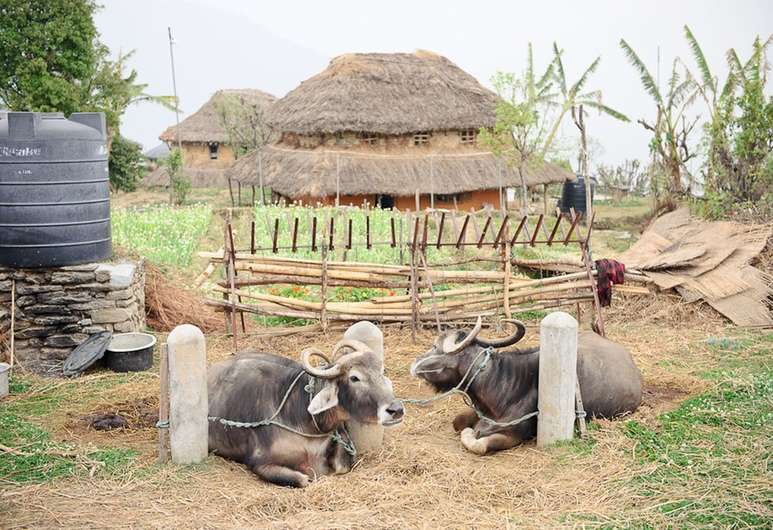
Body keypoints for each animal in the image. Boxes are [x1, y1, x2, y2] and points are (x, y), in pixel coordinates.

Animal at [208, 324, 404, 487]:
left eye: (381, 372)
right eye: (354, 377)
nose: (397, 410)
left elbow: (341, 466)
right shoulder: (259, 462)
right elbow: (303, 480)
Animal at [410, 317, 642, 455]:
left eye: (435, 347)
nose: (414, 364)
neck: (505, 387)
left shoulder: (514, 436)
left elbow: (477, 443)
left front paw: (473, 433)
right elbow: (457, 422)